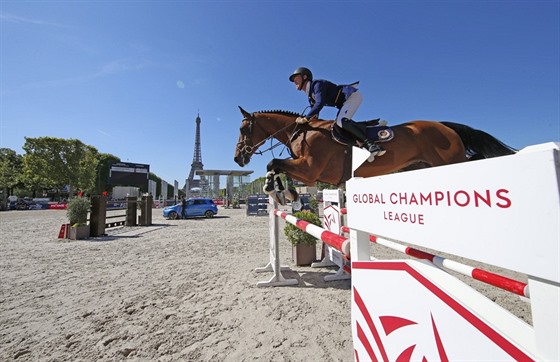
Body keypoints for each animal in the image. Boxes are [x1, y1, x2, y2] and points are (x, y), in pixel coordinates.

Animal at [233, 106, 516, 205]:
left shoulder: (311, 170)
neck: (303, 130)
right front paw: (283, 192)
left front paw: (279, 191)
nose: (238, 158)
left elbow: (274, 163)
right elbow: (276, 166)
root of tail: (446, 127)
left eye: (243, 129)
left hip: (451, 161)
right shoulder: (309, 172)